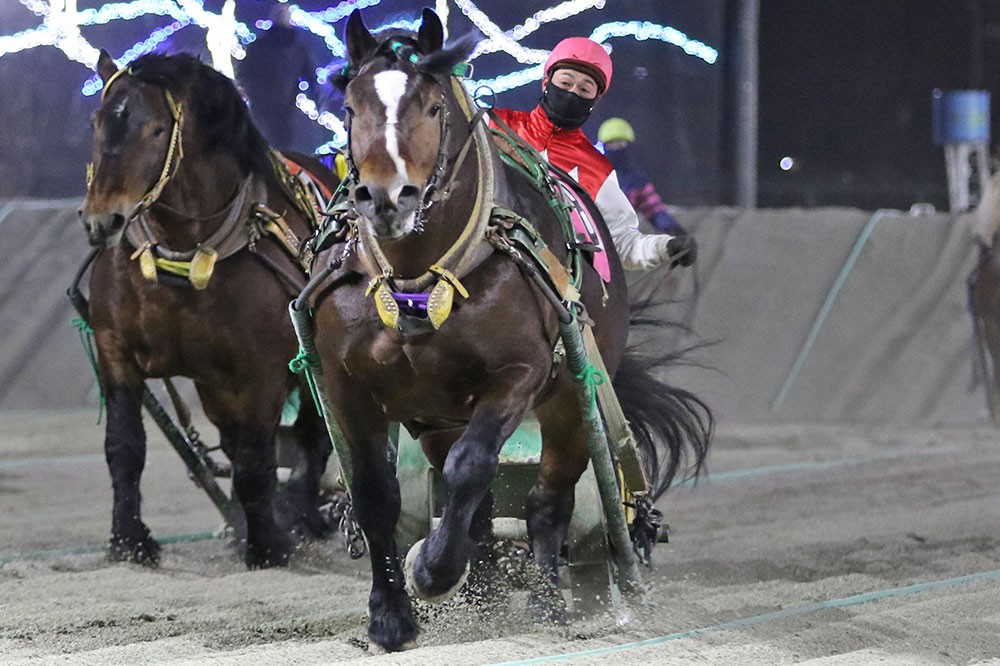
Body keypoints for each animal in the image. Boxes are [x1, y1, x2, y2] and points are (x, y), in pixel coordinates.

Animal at [79, 50, 338, 568]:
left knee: (310, 434)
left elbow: (258, 458)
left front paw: (268, 544)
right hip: (217, 385)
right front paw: (129, 539)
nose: (103, 220)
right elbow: (125, 448)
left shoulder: (262, 370)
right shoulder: (115, 349)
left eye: (156, 129)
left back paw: (302, 516)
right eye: (98, 122)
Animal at [307, 9, 712, 650]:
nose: (386, 197)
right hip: (438, 416)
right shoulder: (349, 384)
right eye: (349, 107)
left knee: (548, 498)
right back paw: (484, 588)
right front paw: (391, 614)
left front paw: (434, 570)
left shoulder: (518, 373)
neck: (418, 276)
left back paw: (545, 601)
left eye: (432, 107)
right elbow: (377, 493)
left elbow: (474, 467)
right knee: (469, 501)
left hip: (572, 396)